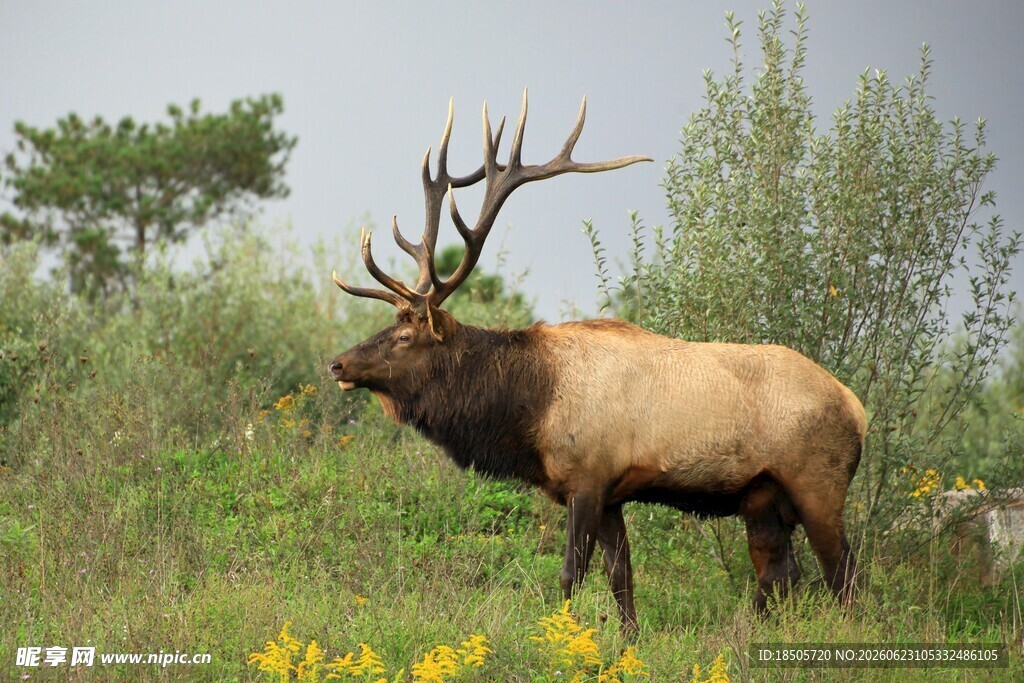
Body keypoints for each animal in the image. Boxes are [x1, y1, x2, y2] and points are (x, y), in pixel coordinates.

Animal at [329, 90, 866, 634]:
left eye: (404, 335)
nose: (337, 364)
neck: (529, 409)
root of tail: (856, 407)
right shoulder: (611, 493)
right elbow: (620, 576)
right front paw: (628, 641)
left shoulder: (587, 476)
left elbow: (572, 573)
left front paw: (557, 636)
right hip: (762, 498)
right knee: (780, 573)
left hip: (818, 484)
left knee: (844, 576)